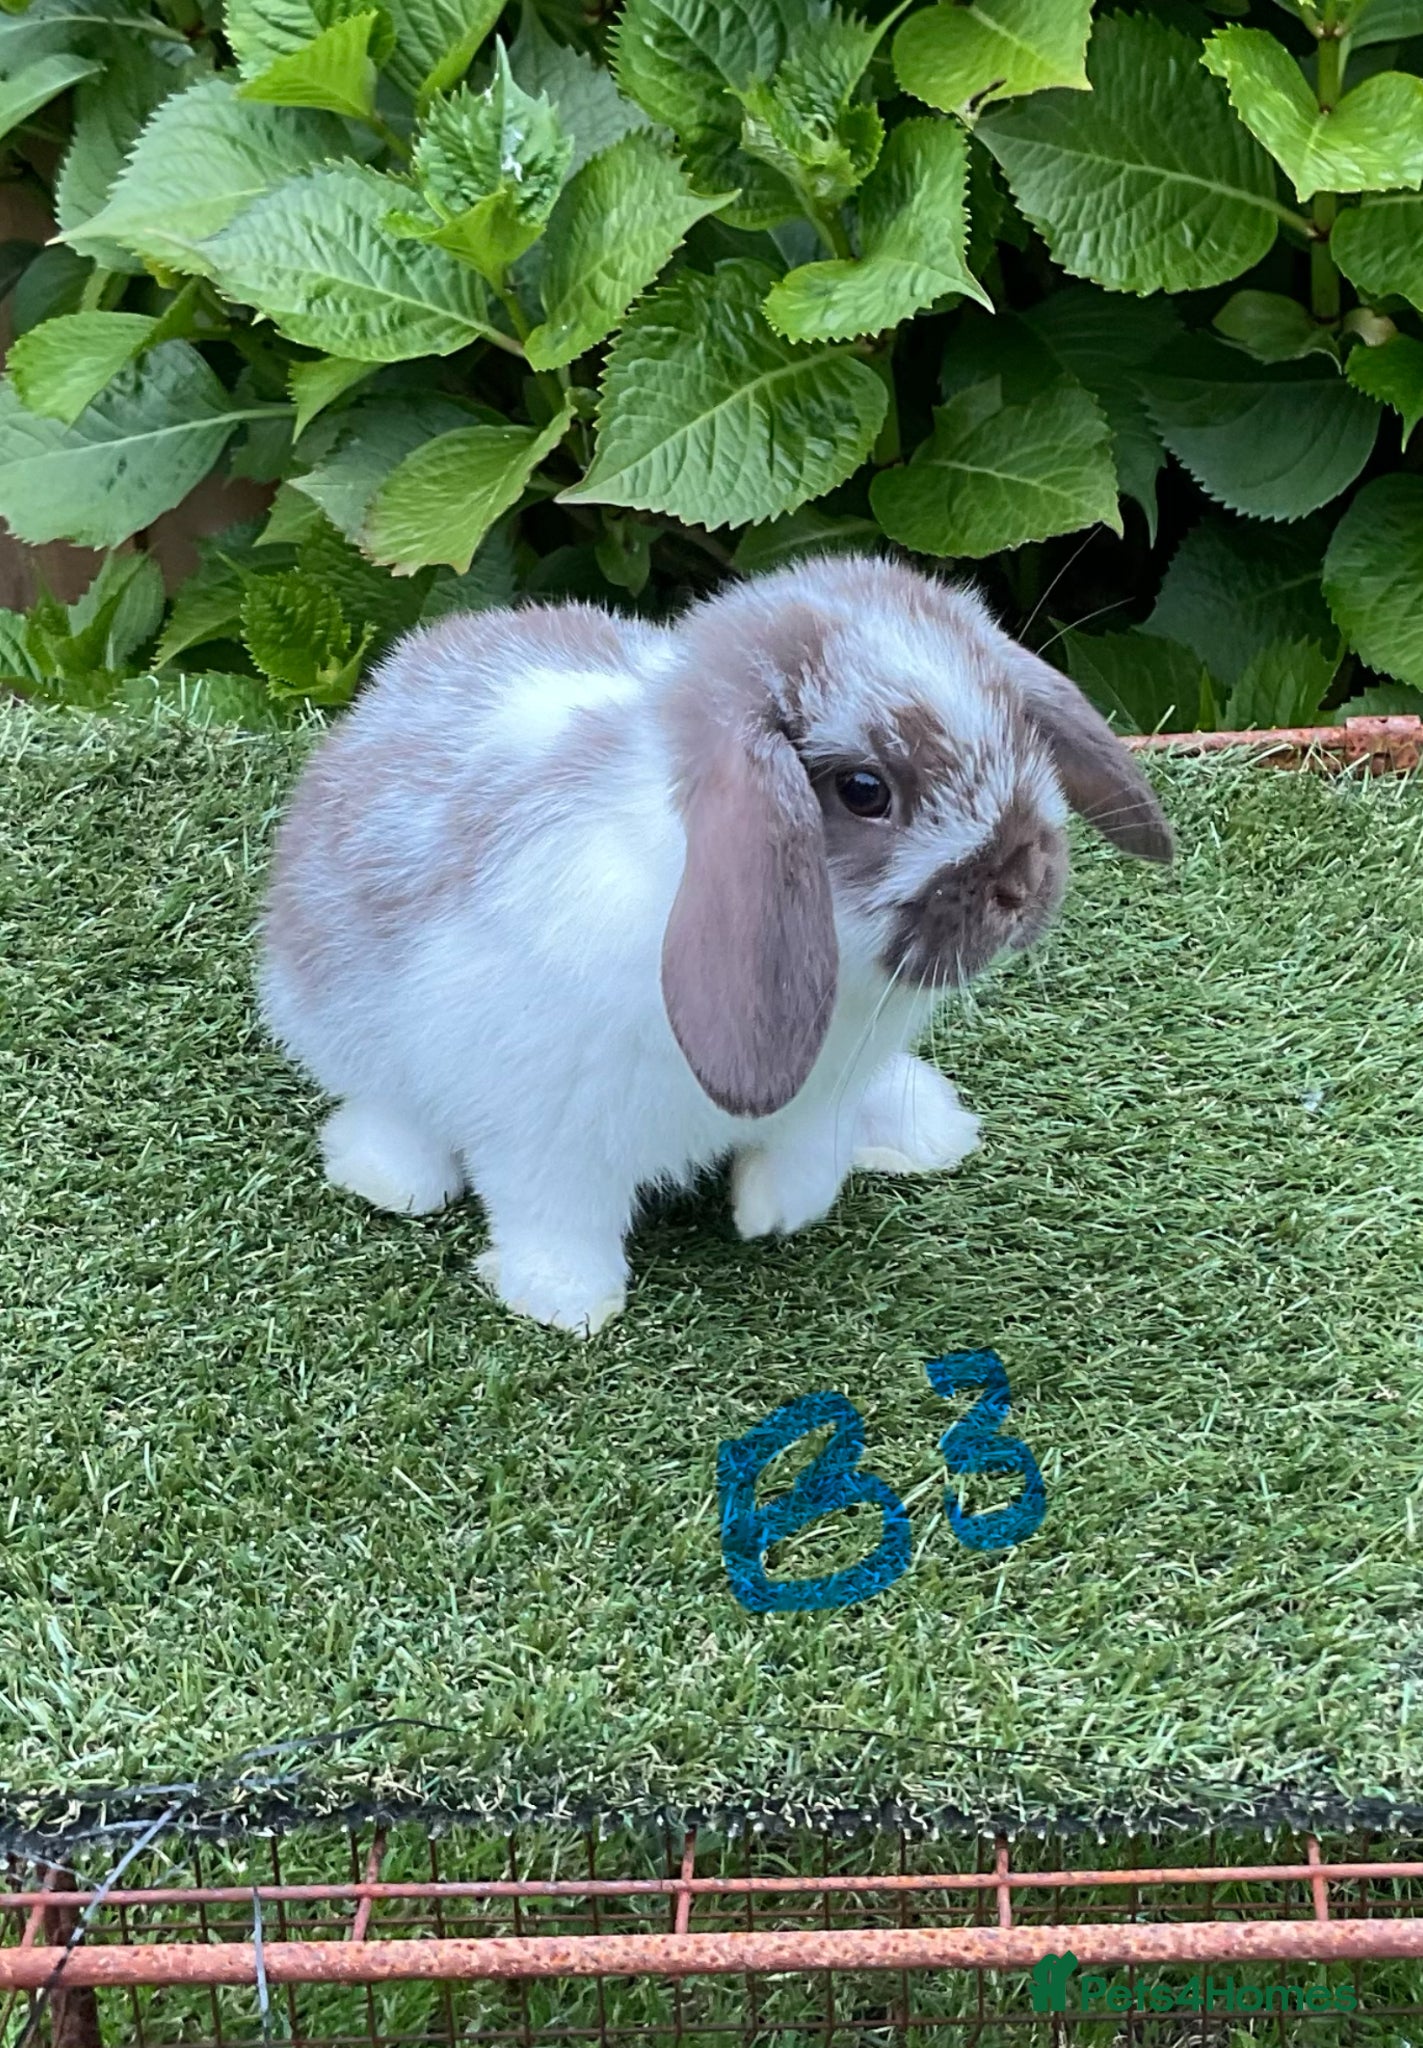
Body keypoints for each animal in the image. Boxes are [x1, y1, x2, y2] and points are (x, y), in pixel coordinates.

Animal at [257, 553, 1173, 1336]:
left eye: (1019, 726)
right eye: (864, 790)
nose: (1023, 885)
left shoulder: (824, 1091)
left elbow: (808, 1151)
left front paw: (775, 1210)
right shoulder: (544, 1122)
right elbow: (553, 1209)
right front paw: (565, 1301)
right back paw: (394, 1176)